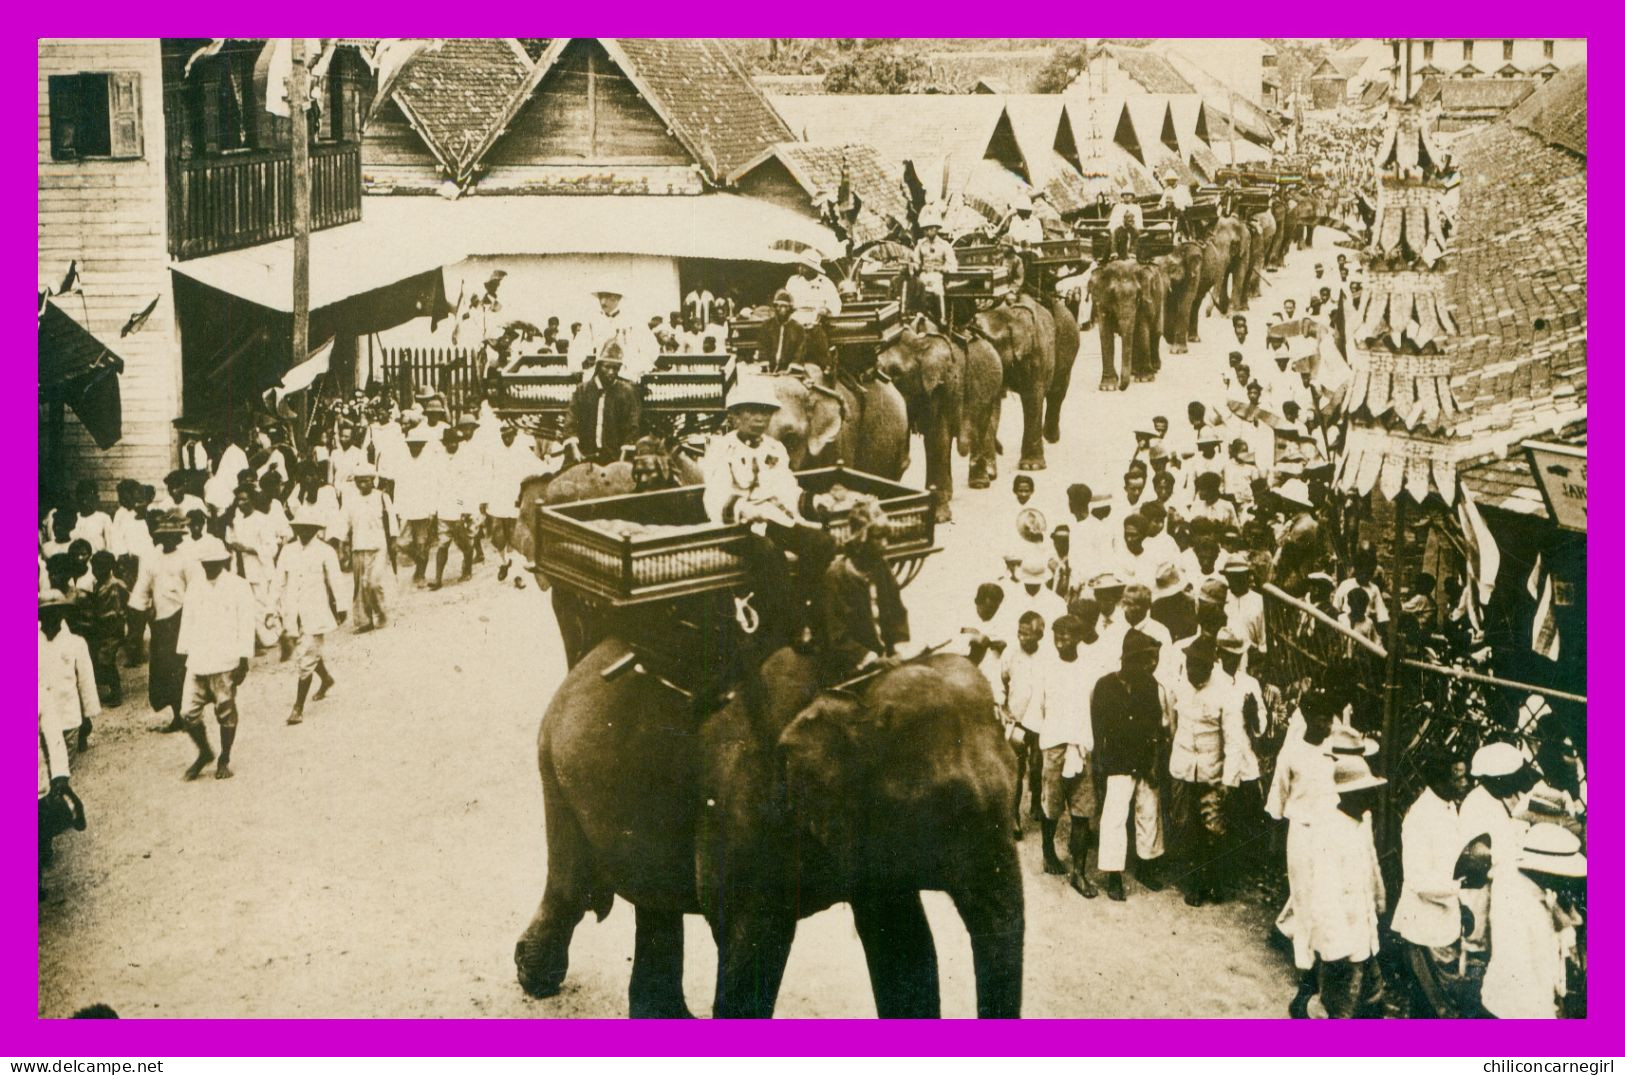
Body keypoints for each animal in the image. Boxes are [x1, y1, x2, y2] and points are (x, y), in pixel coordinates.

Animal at [513, 643, 1020, 1026]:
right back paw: (535, 977)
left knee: (649, 901)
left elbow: (903, 941)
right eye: (950, 812)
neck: (856, 685)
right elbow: (751, 938)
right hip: (555, 775)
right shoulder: (744, 798)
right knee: (573, 888)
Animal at [877, 319, 1001, 513]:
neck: (919, 341)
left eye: (896, 372)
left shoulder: (942, 386)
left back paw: (979, 483)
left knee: (980, 429)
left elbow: (937, 434)